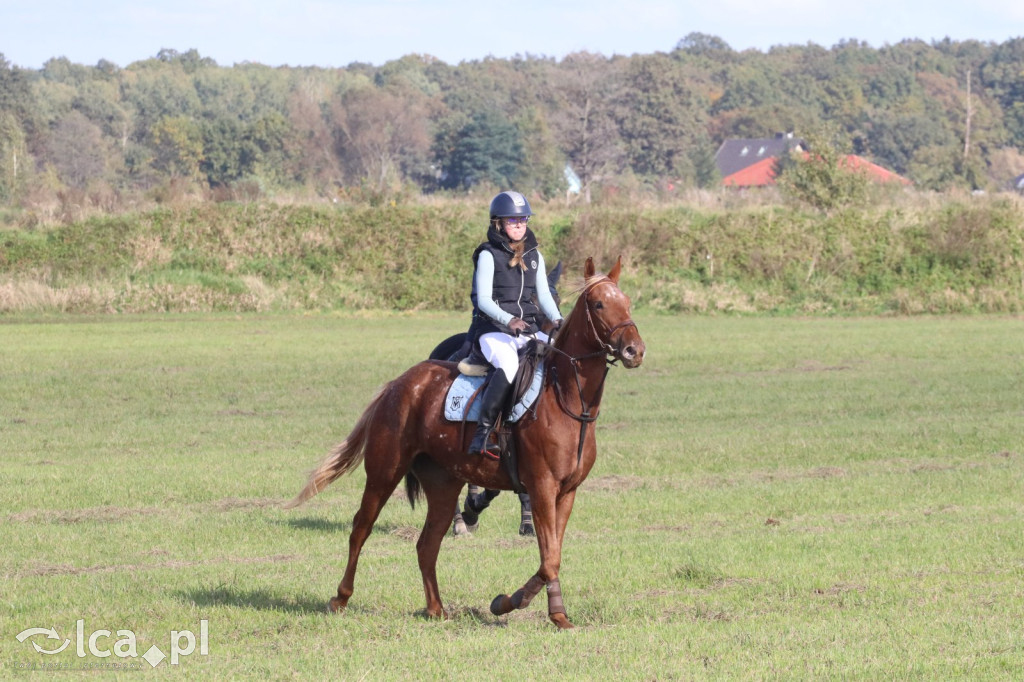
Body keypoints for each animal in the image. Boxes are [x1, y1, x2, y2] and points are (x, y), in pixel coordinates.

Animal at [284, 256, 643, 626]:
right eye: (598, 304)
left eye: (628, 302)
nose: (635, 350)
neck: (566, 400)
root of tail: (397, 384)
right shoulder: (542, 486)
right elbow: (550, 558)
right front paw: (517, 605)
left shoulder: (566, 492)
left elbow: (551, 556)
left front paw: (538, 609)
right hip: (384, 472)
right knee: (361, 528)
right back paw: (340, 598)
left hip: (442, 484)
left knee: (427, 543)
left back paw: (435, 608)